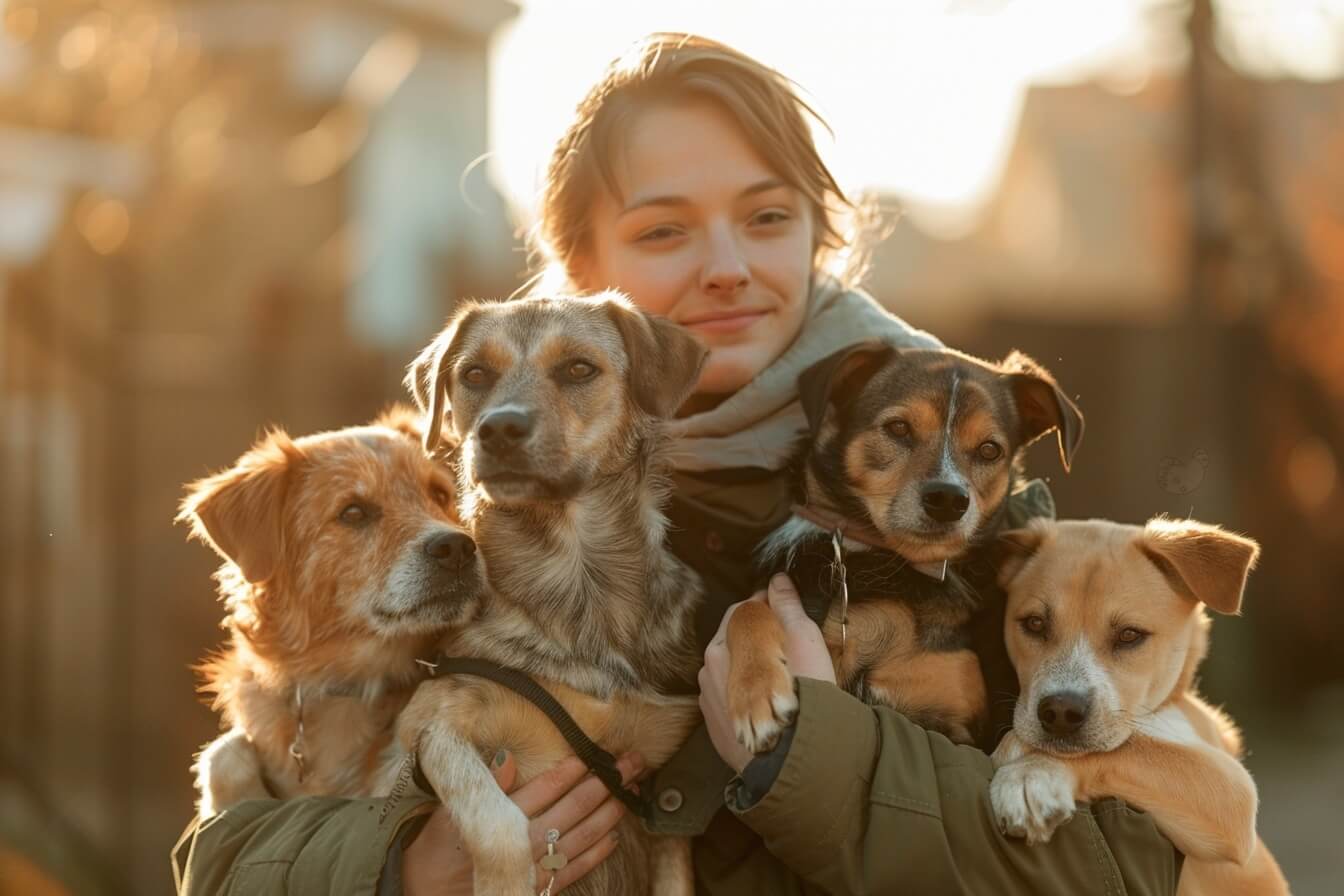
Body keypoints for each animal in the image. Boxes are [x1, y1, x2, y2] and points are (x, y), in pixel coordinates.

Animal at [395, 294, 715, 896]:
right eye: (474, 374)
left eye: (579, 369)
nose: (498, 428)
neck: (575, 579)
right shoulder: (431, 724)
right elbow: (499, 820)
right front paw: (507, 883)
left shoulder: (660, 792)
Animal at [725, 346, 1080, 752]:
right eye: (898, 428)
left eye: (990, 450)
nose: (948, 499)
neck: (883, 560)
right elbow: (747, 610)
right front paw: (757, 693)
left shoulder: (954, 727)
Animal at [989, 518, 1290, 896]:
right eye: (1034, 624)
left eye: (1130, 635)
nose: (1060, 713)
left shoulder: (1233, 792)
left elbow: (1130, 749)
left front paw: (1030, 775)